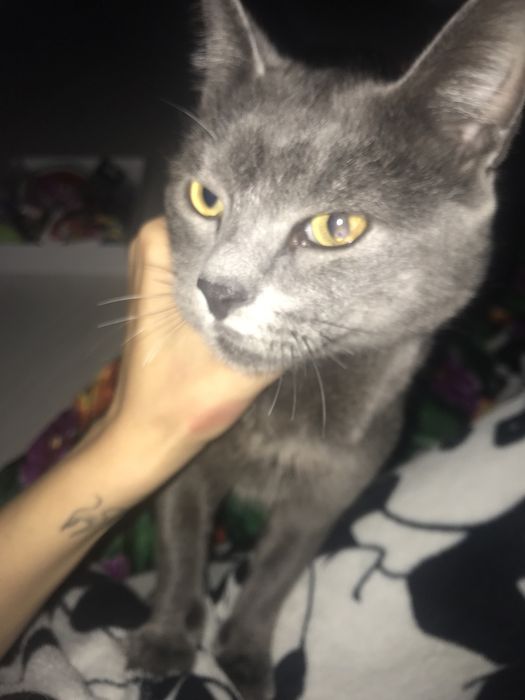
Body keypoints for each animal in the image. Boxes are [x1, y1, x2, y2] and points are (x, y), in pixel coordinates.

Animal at [127, 0, 525, 697]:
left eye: (337, 227)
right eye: (206, 197)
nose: (217, 288)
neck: (284, 414)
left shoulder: (336, 484)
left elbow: (278, 570)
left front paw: (244, 659)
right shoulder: (185, 458)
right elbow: (180, 540)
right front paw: (168, 639)